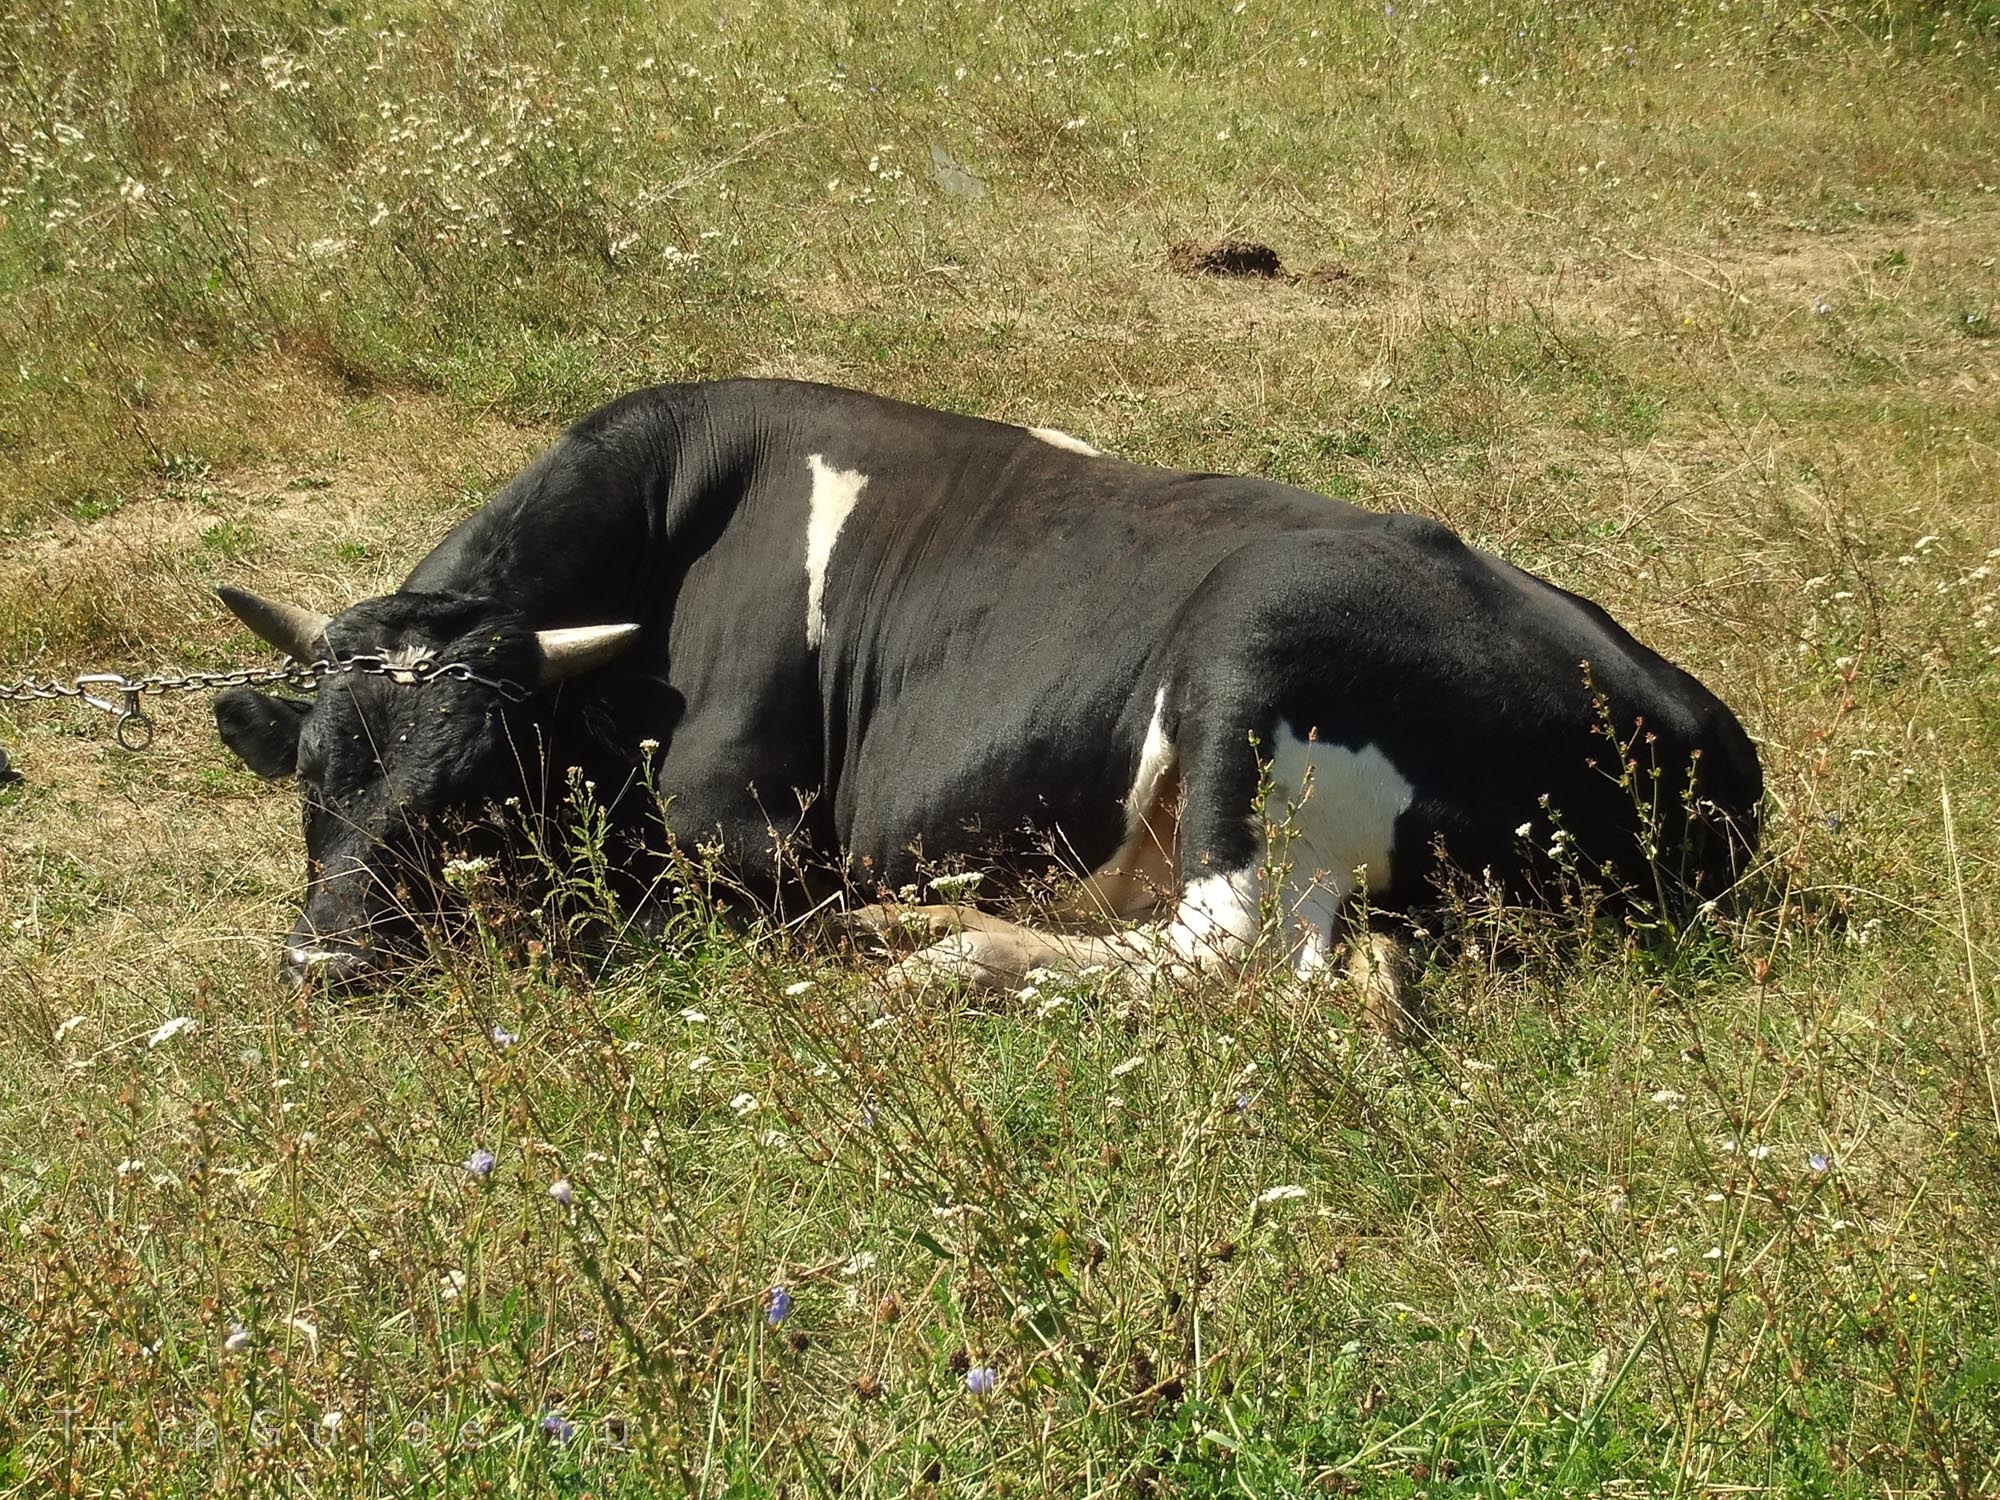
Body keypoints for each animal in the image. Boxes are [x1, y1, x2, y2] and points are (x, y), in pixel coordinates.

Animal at [213, 379, 1761, 1024]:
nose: (323, 966)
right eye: (316, 780)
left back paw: (944, 954)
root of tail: (1705, 733)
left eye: (477, 789)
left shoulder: (749, 836)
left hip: (1257, 649)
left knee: (1227, 954)